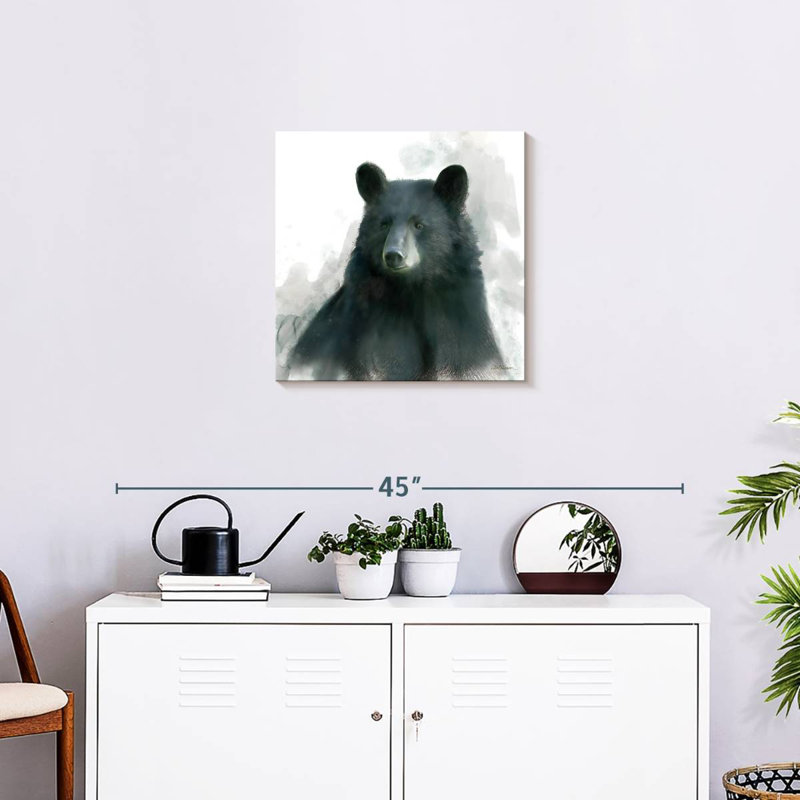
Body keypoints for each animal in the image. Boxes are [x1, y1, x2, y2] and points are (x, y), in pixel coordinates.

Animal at [288, 162, 504, 381]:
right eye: (384, 224)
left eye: (419, 225)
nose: (393, 255)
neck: (412, 290)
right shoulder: (370, 324)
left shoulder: (460, 315)